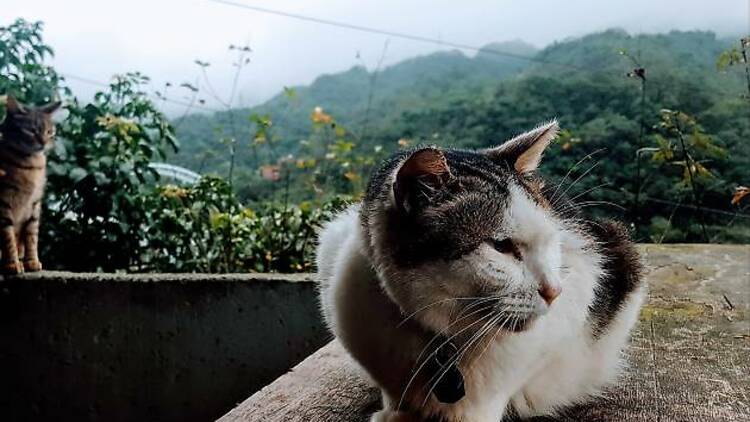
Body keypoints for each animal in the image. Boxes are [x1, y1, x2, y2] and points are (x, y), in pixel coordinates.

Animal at [0, 95, 61, 274]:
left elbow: (32, 236)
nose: (44, 142)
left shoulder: (34, 204)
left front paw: (32, 261)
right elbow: (8, 236)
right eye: (31, 131)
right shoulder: (3, 203)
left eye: (49, 132)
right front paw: (12, 264)